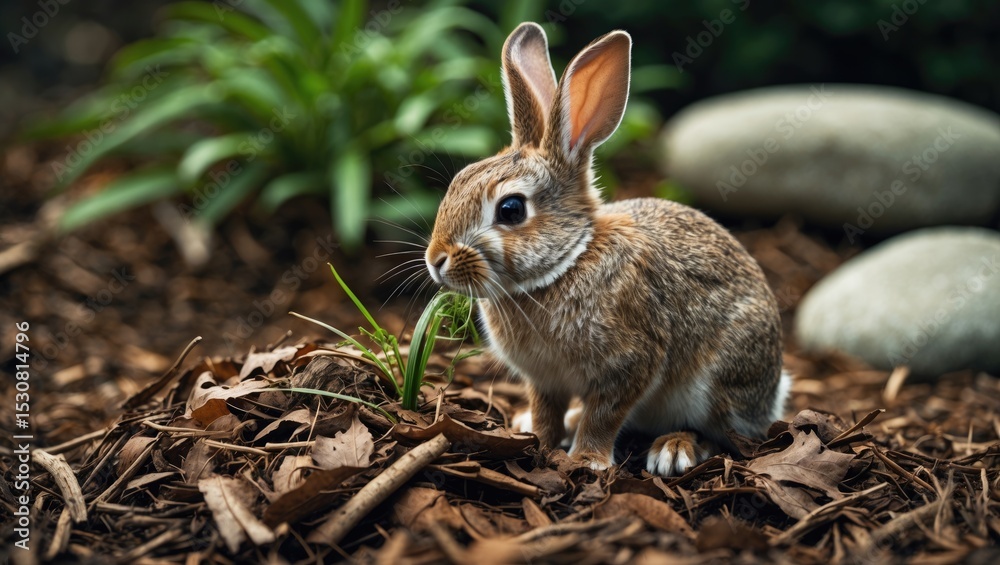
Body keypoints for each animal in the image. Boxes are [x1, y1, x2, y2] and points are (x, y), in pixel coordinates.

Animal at [424, 22, 790, 475]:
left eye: (511, 209)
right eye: (460, 179)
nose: (435, 260)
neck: (568, 262)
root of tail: (773, 393)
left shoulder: (630, 364)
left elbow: (605, 414)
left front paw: (588, 460)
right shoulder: (544, 380)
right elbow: (546, 409)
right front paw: (539, 439)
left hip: (717, 382)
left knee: (725, 433)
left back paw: (673, 450)